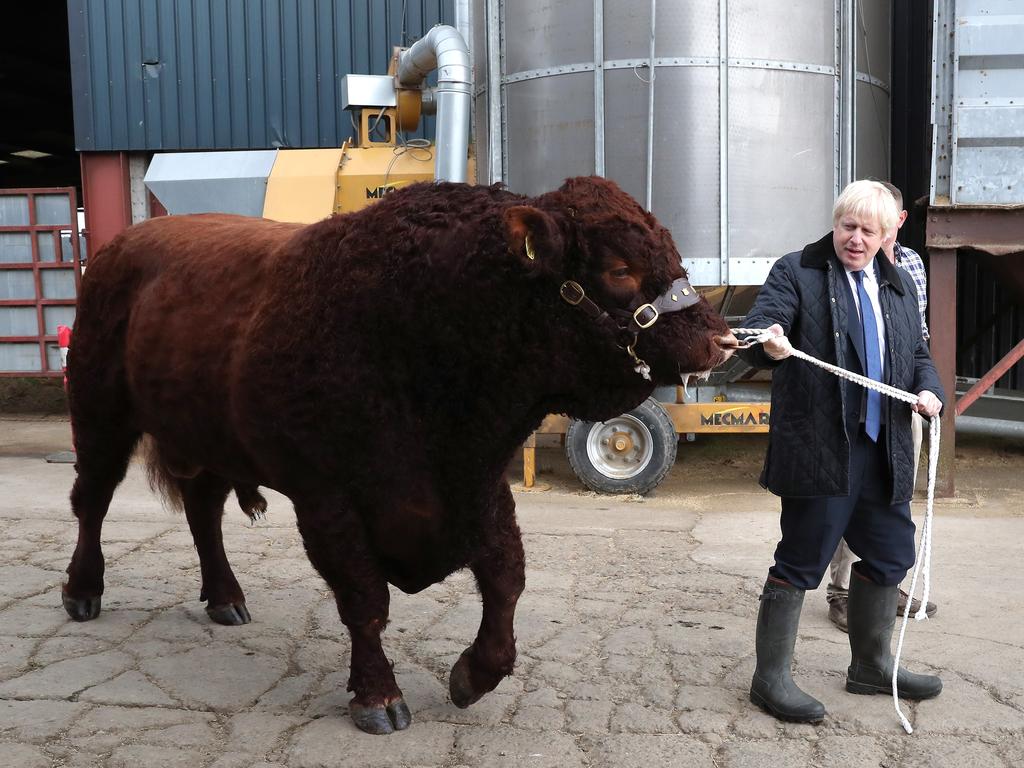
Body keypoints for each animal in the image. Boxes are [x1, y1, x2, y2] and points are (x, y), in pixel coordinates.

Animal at [64, 177, 733, 737]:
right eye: (619, 269)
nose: (721, 339)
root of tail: (117, 247)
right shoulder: (328, 500)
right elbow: (365, 600)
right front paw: (378, 700)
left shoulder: (477, 485)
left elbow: (506, 578)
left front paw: (471, 678)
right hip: (100, 419)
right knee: (92, 501)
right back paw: (82, 593)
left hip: (208, 445)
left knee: (203, 511)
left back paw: (226, 599)